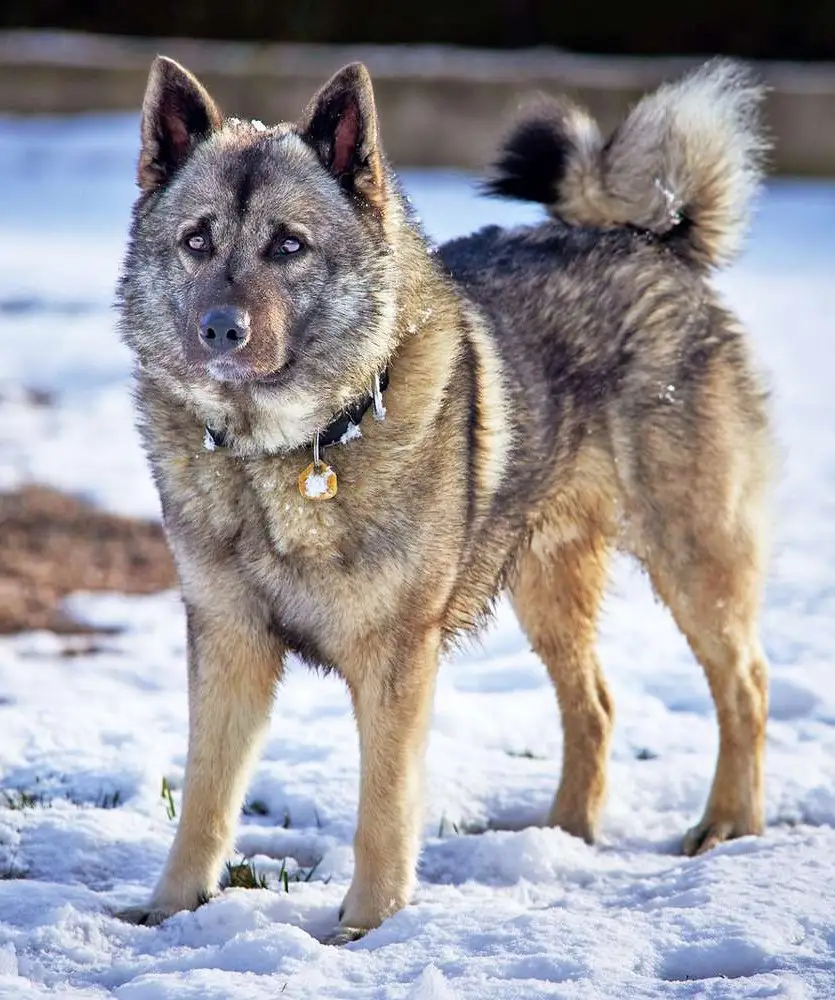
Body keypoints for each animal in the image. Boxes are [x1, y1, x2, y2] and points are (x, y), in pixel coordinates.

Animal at [116, 56, 772, 936]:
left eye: (288, 245)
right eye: (197, 241)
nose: (220, 329)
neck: (287, 451)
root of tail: (648, 241)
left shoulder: (397, 659)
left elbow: (383, 806)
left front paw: (368, 924)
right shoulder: (227, 641)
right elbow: (206, 797)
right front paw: (171, 908)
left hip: (694, 560)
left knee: (744, 688)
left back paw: (729, 825)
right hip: (547, 585)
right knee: (594, 704)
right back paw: (562, 834)